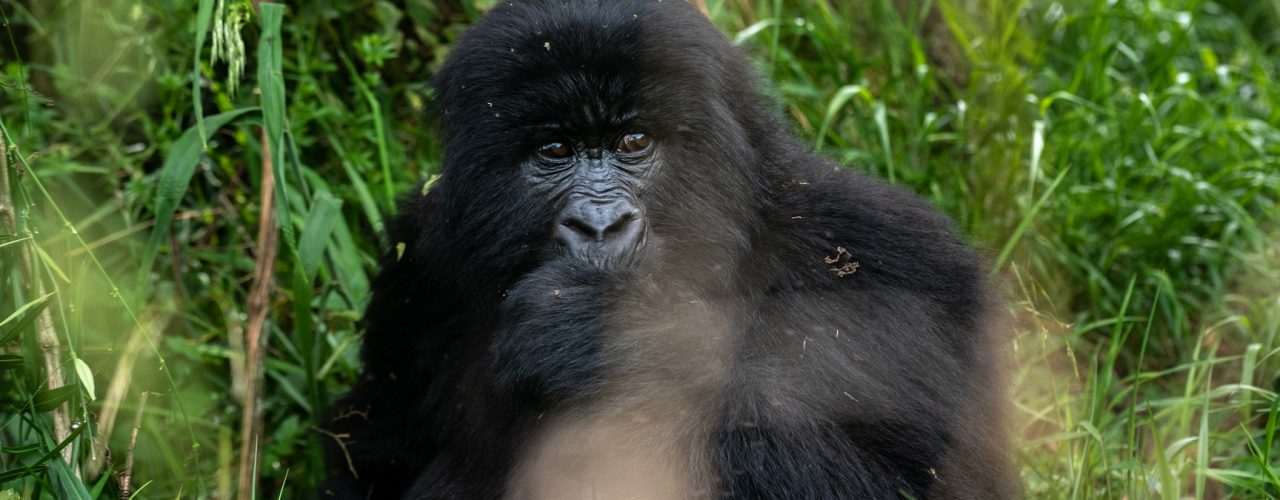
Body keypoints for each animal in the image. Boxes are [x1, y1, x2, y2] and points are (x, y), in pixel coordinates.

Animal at [325, 1, 1013, 498]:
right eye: (554, 150)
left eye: (634, 141)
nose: (600, 225)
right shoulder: (419, 265)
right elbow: (374, 449)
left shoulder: (895, 258)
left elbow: (923, 481)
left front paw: (607, 343)